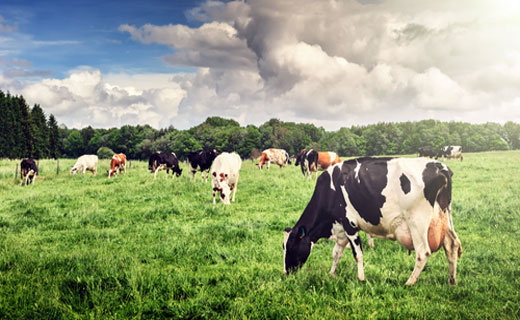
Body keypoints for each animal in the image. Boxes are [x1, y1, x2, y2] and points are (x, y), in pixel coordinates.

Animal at [284, 157, 464, 284]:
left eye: (290, 246)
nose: (286, 272)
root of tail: (441, 167)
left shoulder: (350, 224)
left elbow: (358, 254)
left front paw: (361, 279)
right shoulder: (340, 229)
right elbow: (336, 254)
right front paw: (331, 274)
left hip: (417, 221)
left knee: (423, 252)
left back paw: (410, 282)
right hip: (444, 215)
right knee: (452, 245)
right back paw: (452, 280)